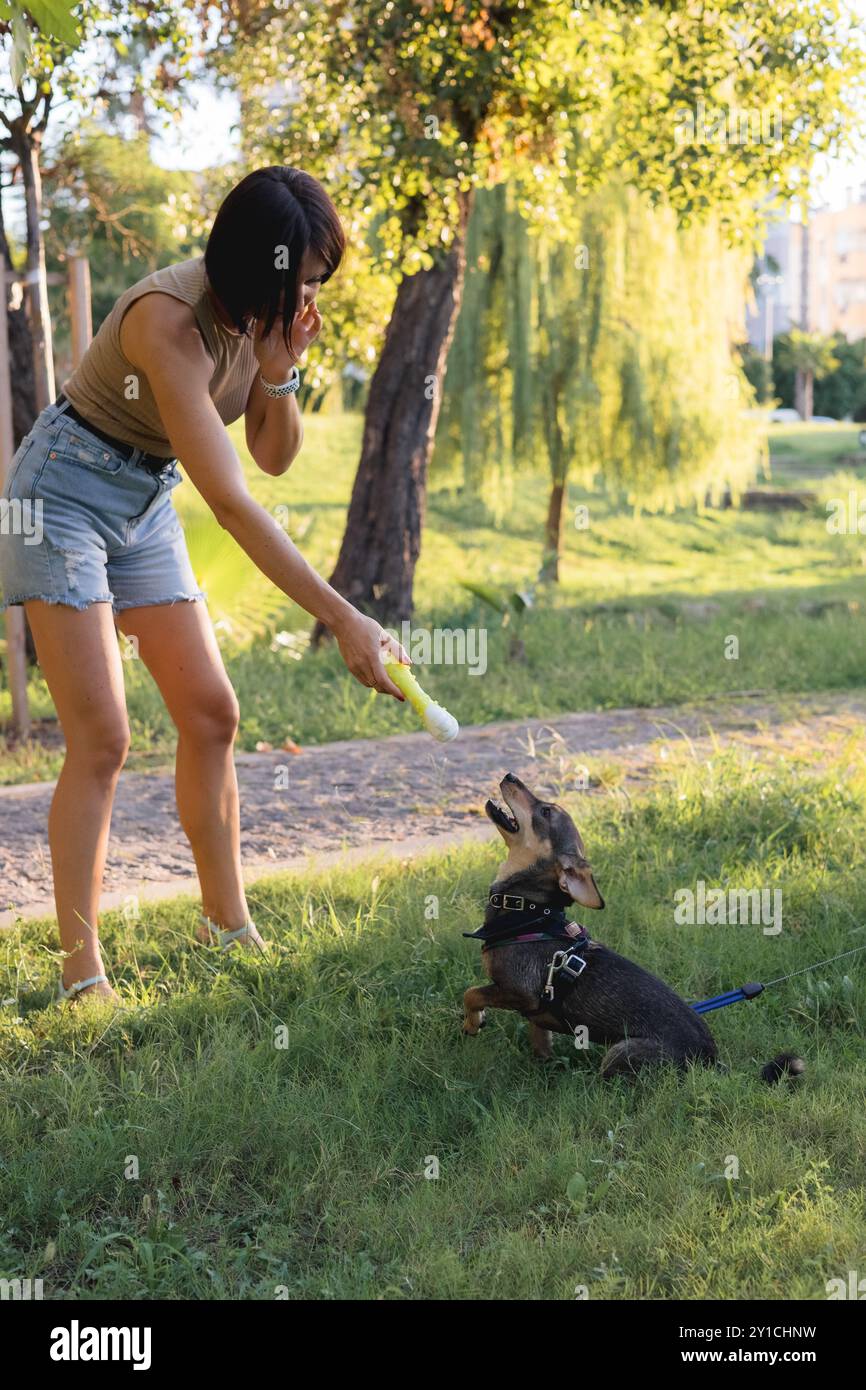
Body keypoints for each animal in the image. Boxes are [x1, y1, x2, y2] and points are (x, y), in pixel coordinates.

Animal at [464, 778, 800, 1078]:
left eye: (545, 811)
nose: (510, 776)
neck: (529, 913)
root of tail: (709, 1062)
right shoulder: (536, 1009)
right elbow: (539, 1039)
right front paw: (542, 1063)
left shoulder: (518, 992)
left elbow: (472, 993)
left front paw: (472, 1023)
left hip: (619, 1052)